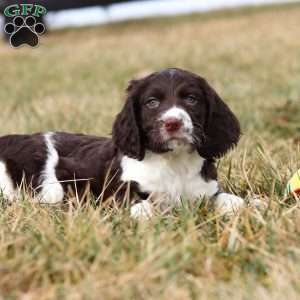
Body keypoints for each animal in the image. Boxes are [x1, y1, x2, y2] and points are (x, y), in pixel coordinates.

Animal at [0, 68, 244, 218]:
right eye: (152, 102)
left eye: (192, 99)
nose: (173, 123)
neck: (173, 162)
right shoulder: (115, 195)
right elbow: (143, 208)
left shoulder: (206, 191)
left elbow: (233, 201)